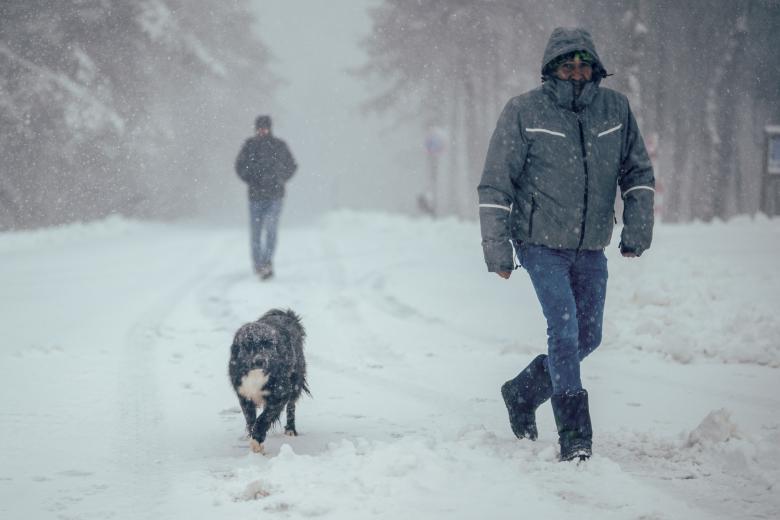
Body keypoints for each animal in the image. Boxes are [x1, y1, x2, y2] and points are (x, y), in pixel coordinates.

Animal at [227, 308, 310, 450]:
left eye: (268, 344)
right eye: (248, 345)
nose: (260, 360)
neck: (256, 374)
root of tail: (287, 316)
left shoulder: (281, 394)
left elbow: (264, 418)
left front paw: (257, 439)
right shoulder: (244, 394)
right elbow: (250, 418)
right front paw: (252, 434)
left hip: (295, 381)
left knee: (291, 406)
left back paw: (290, 429)